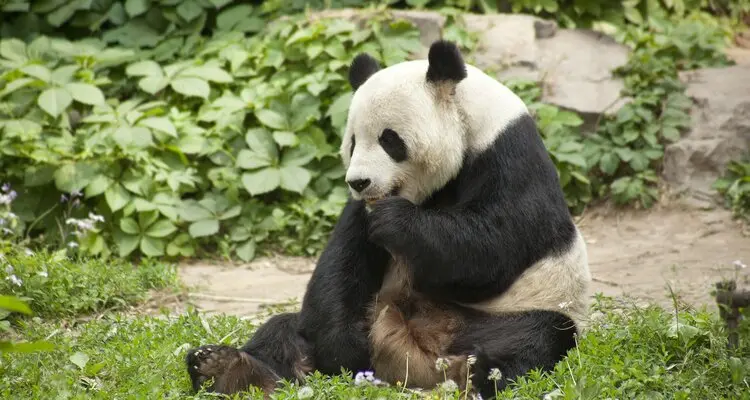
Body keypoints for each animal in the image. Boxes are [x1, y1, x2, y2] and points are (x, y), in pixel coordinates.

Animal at [185, 39, 591, 400]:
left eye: (389, 139)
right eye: (352, 142)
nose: (358, 181)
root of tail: (417, 362)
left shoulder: (509, 158)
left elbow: (494, 246)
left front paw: (398, 222)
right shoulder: (359, 212)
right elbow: (342, 264)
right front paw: (343, 348)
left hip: (521, 310)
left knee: (530, 341)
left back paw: (477, 375)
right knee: (282, 331)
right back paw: (228, 370)